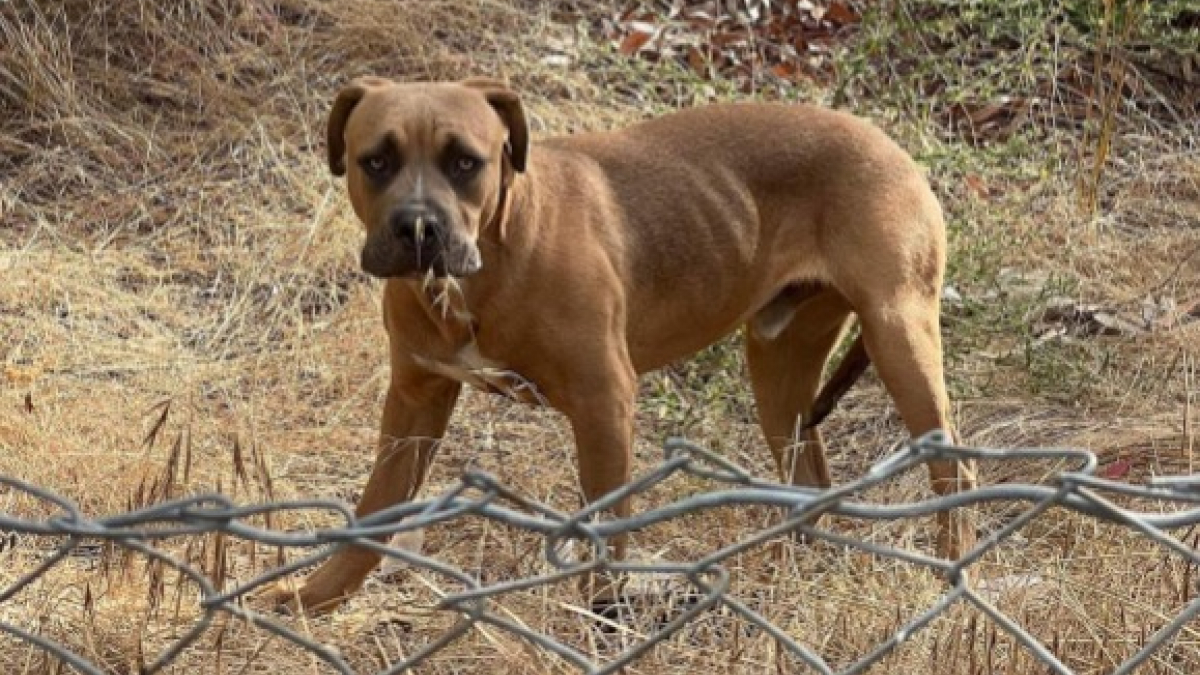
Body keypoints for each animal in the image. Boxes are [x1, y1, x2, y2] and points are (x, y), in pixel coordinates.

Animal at [258, 76, 979, 612]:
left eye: (466, 163)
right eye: (374, 161)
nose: (417, 228)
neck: (492, 256)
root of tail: (892, 145)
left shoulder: (603, 402)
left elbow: (604, 529)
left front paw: (603, 620)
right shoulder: (414, 399)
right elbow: (371, 514)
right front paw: (319, 596)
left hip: (897, 332)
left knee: (955, 466)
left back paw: (951, 581)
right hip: (779, 366)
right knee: (810, 479)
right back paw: (781, 581)